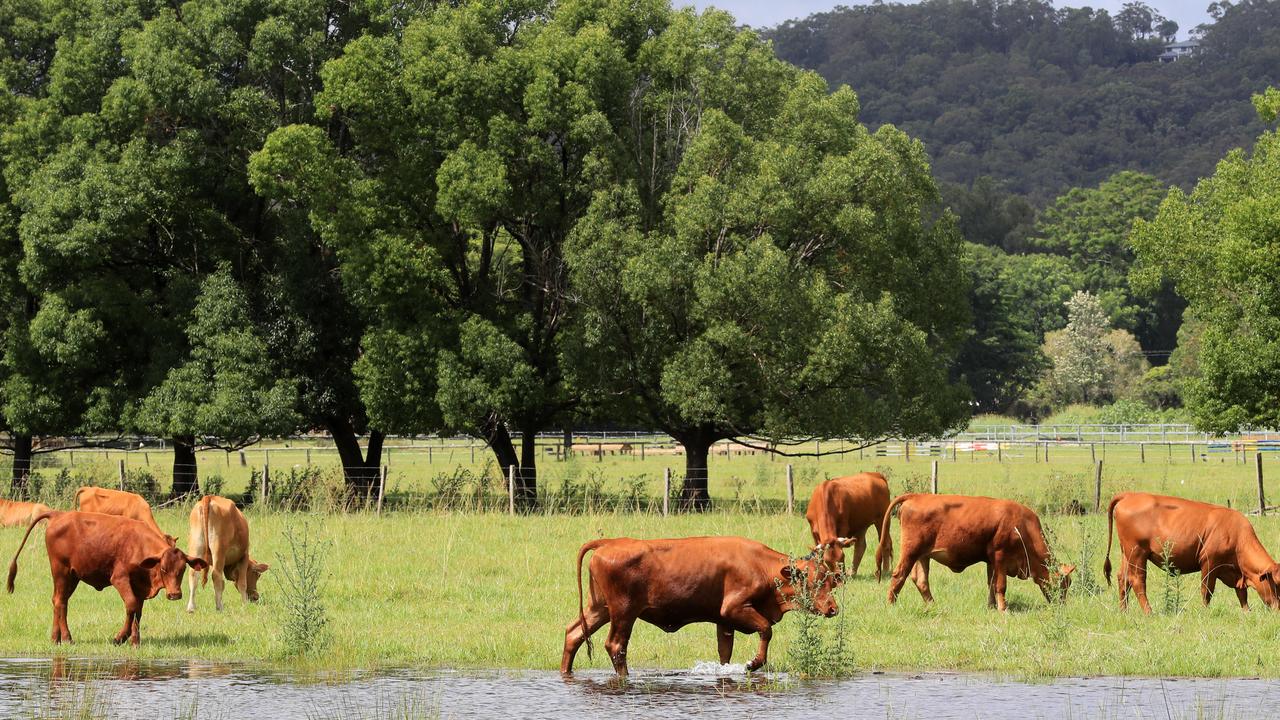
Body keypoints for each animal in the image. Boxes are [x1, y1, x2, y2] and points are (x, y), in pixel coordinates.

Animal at [5, 509, 204, 645]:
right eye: (163, 568)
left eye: (182, 569)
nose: (174, 594)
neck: (138, 544)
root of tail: (58, 514)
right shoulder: (119, 579)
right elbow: (131, 605)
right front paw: (120, 637)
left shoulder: (140, 585)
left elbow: (138, 612)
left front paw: (135, 641)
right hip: (60, 571)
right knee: (60, 601)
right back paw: (67, 638)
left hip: (72, 576)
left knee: (59, 601)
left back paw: (56, 638)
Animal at [558, 535, 839, 676]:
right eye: (814, 582)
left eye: (830, 581)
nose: (833, 609)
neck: (761, 566)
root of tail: (610, 542)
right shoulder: (734, 609)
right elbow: (766, 630)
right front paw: (753, 663)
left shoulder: (724, 622)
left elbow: (725, 653)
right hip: (623, 613)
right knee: (616, 645)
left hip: (600, 609)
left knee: (574, 633)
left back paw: (565, 673)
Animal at [875, 489, 1075, 607]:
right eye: (1063, 583)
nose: (1061, 605)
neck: (1022, 526)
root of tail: (917, 496)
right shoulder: (1000, 556)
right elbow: (1001, 585)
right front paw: (1004, 610)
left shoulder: (991, 561)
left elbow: (991, 584)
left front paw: (992, 607)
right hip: (910, 551)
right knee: (899, 575)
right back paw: (891, 604)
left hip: (923, 555)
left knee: (920, 580)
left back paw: (932, 604)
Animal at [1100, 486, 1280, 609]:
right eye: (1277, 585)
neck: (1237, 536)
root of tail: (1130, 495)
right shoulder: (1209, 563)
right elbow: (1207, 591)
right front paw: (1205, 611)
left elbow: (1242, 594)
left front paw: (1246, 612)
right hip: (1137, 553)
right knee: (1137, 581)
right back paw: (1148, 612)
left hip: (1127, 553)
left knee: (1123, 579)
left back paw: (1124, 611)